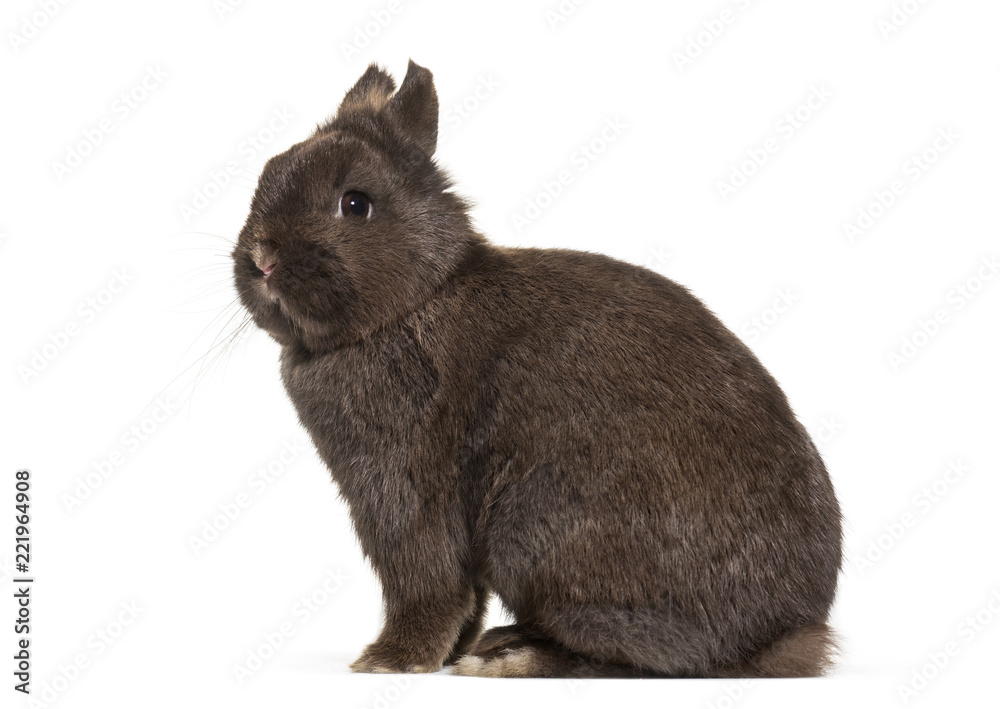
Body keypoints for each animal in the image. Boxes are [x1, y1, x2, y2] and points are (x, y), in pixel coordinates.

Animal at [231, 60, 843, 678]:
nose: (262, 258)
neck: (416, 299)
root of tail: (781, 633)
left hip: (537, 535)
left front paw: (392, 661)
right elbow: (464, 595)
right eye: (268, 174)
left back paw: (508, 658)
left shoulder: (404, 489)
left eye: (355, 204)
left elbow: (428, 581)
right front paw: (438, 653)